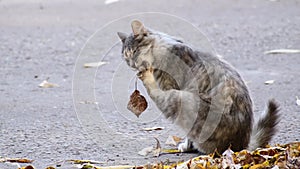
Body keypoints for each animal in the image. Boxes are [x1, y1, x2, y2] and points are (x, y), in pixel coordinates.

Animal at [116, 19, 278, 153]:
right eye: (126, 58)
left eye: (134, 52)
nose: (133, 65)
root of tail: (241, 146)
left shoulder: (171, 86)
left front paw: (187, 146)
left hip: (183, 98)